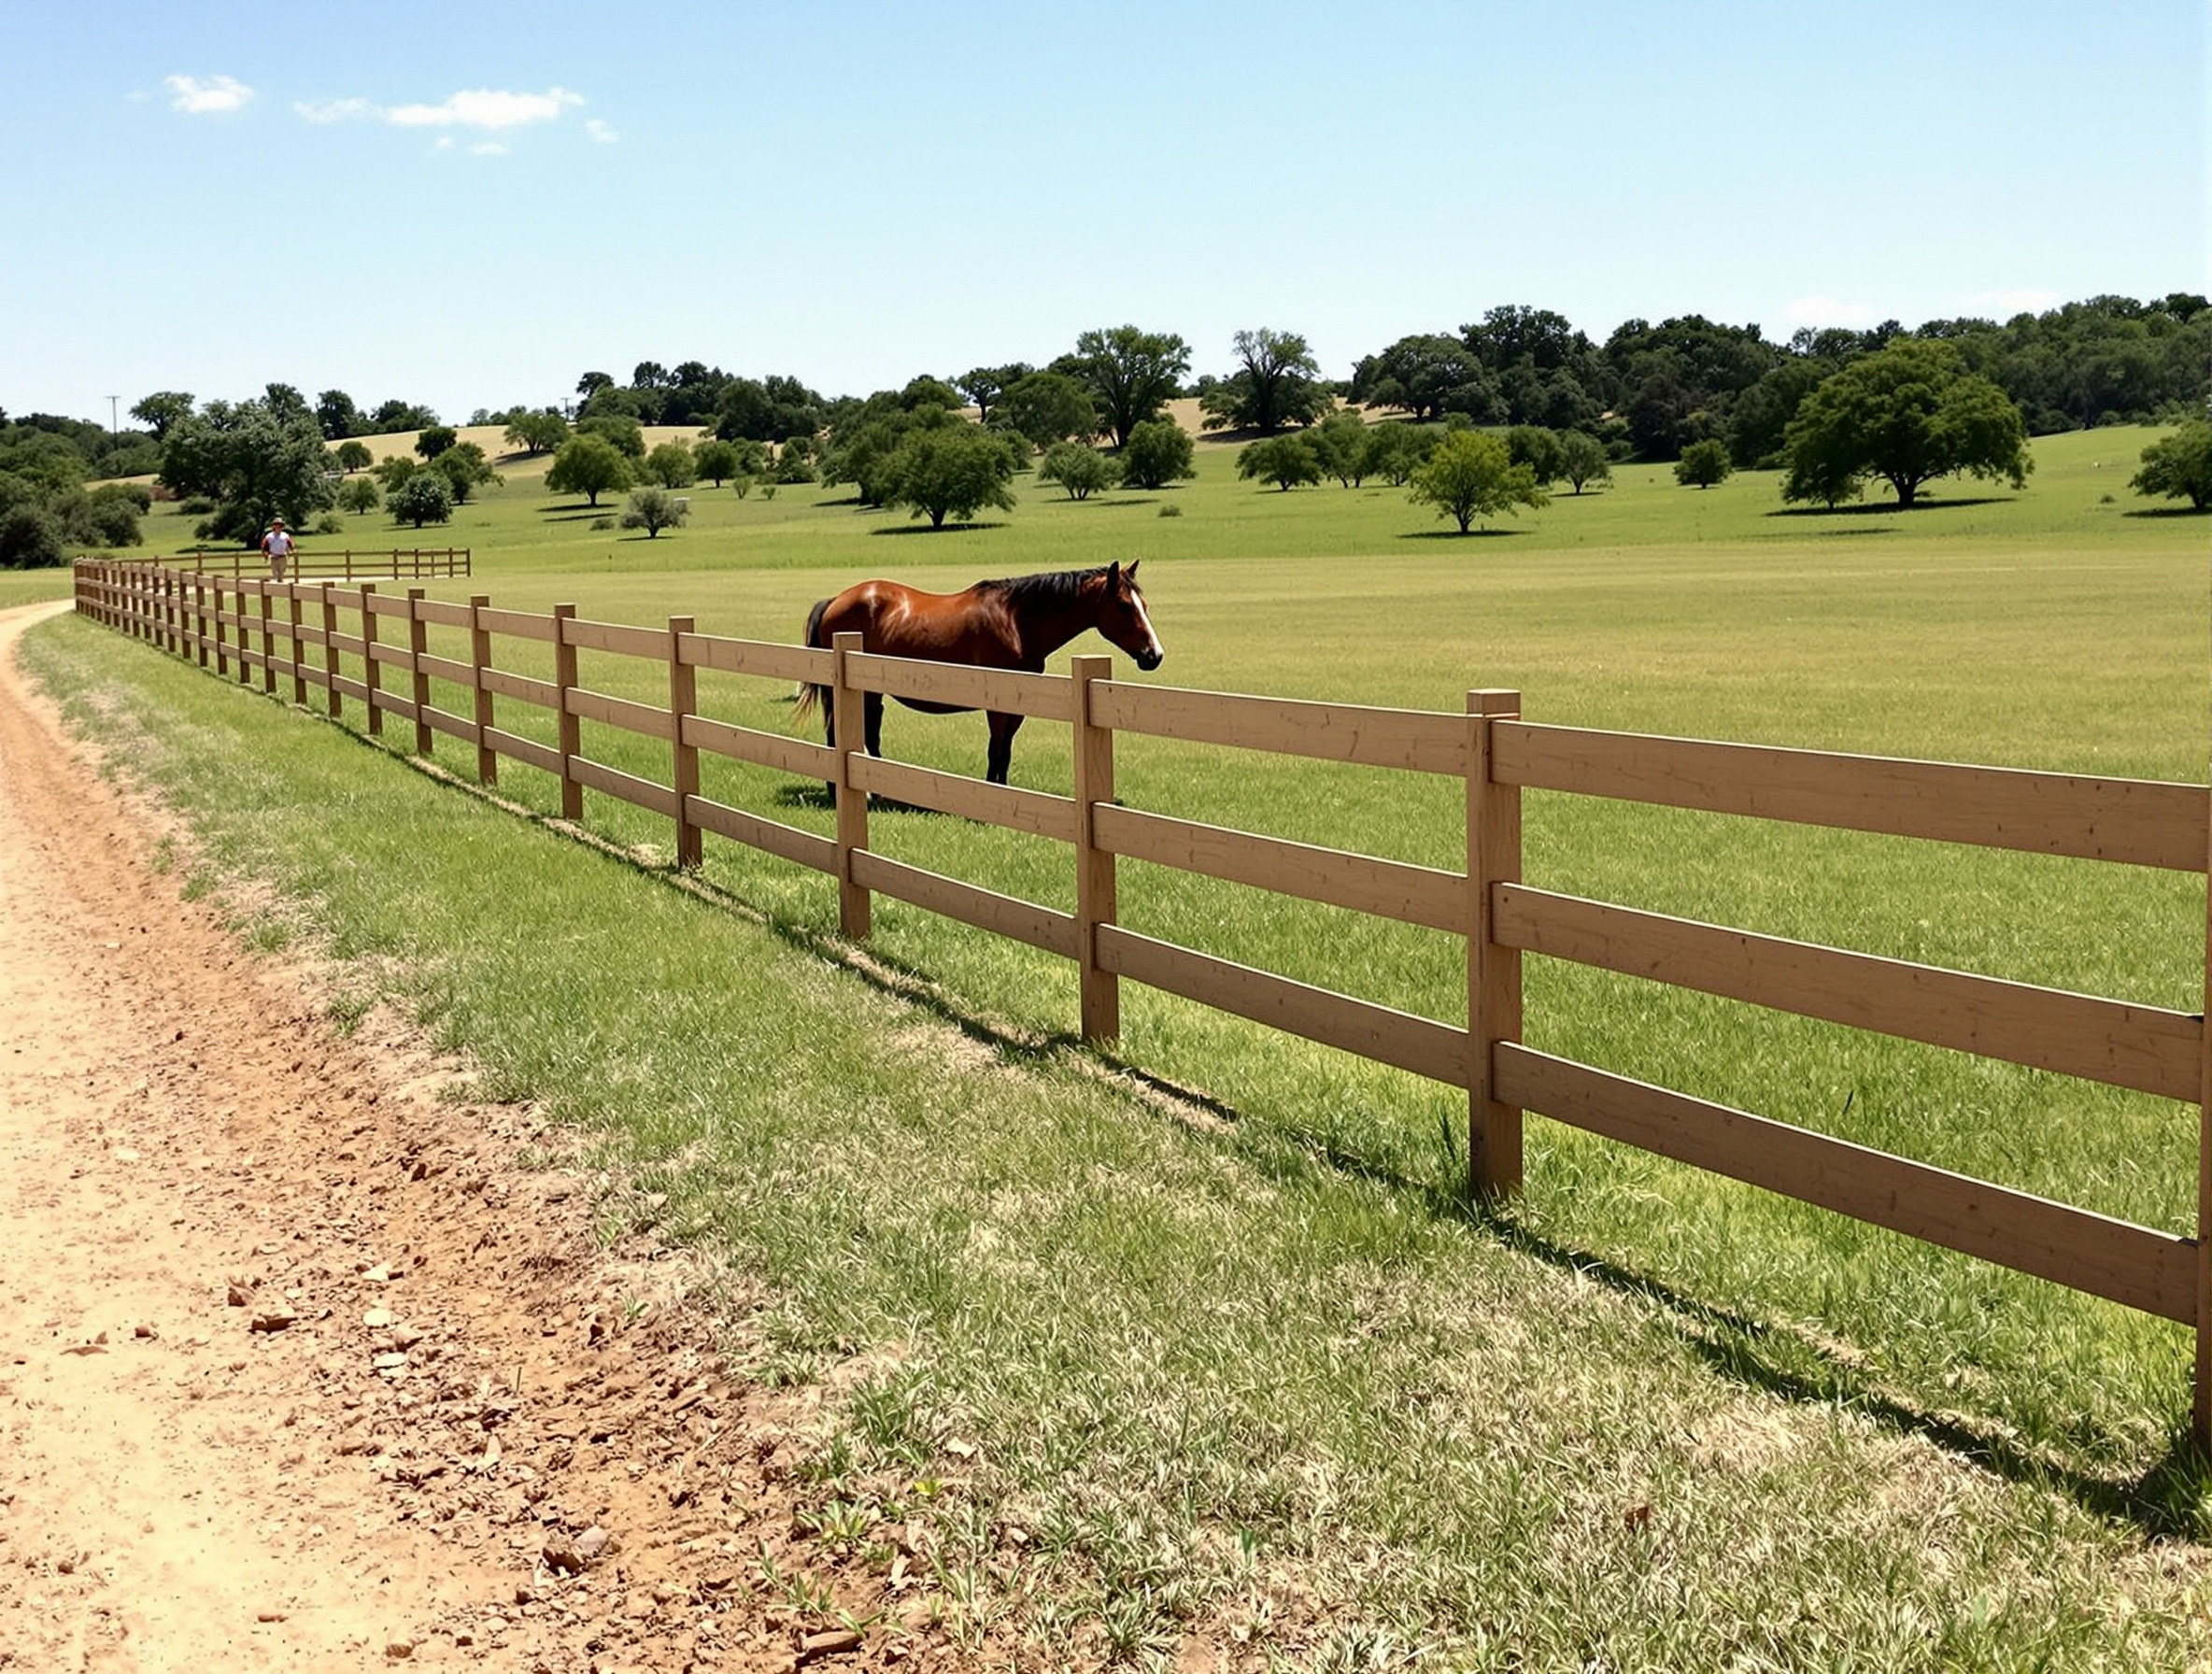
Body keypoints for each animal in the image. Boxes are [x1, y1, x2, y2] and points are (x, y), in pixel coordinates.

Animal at [794, 561, 1164, 785]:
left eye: (1144, 605)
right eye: (1124, 605)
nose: (1154, 655)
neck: (1017, 621)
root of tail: (835, 601)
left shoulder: (1016, 707)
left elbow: (1006, 751)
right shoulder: (996, 706)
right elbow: (996, 749)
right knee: (838, 736)